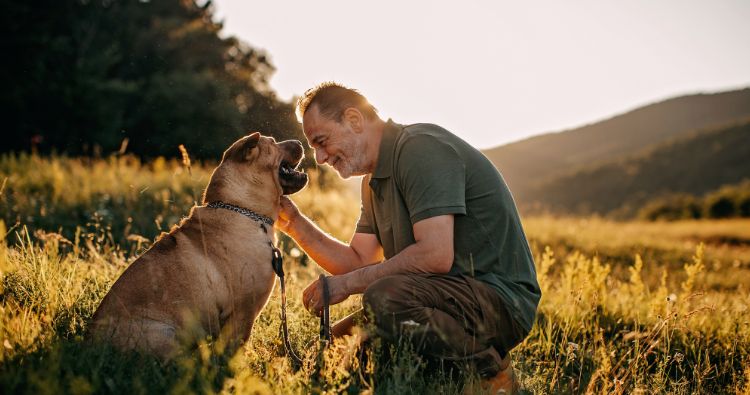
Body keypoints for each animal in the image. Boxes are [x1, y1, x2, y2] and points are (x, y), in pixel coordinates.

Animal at [89, 134, 308, 362]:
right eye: (273, 142)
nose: (300, 142)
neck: (243, 210)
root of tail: (91, 343)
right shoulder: (243, 312)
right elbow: (233, 349)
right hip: (165, 334)